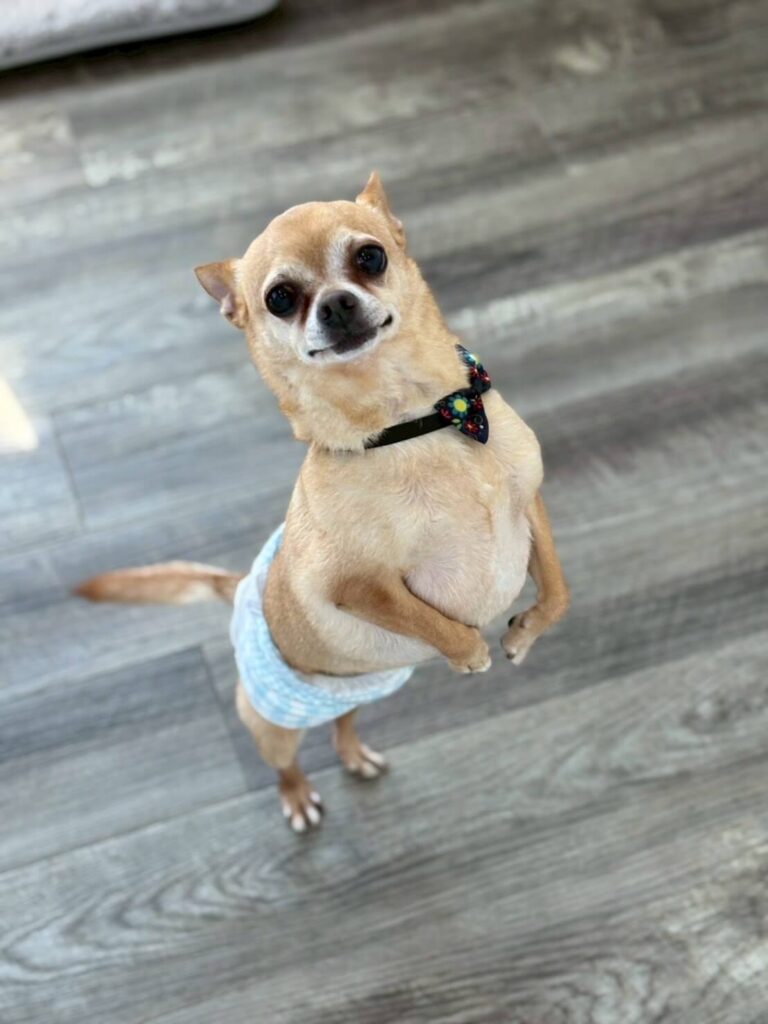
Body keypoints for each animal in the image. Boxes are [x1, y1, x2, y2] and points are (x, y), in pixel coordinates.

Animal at [77, 173, 570, 832]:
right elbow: (431, 621)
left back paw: (355, 754)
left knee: (343, 724)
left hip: (363, 690)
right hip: (271, 724)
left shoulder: (530, 505)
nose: (335, 304)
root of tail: (240, 586)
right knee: (287, 762)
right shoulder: (360, 586)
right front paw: (470, 654)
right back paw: (298, 799)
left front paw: (522, 636)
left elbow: (558, 590)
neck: (414, 424)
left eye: (371, 257)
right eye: (281, 298)